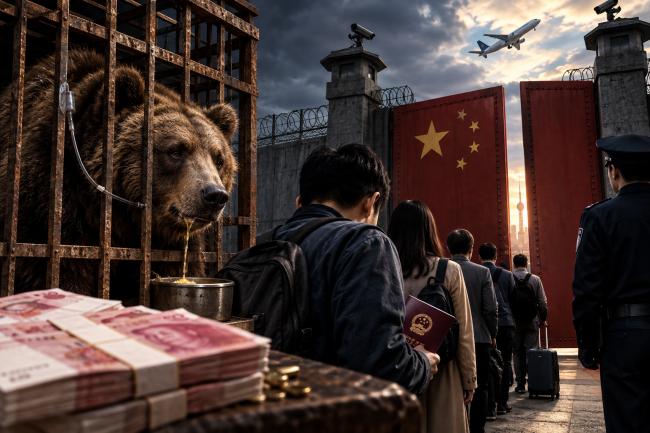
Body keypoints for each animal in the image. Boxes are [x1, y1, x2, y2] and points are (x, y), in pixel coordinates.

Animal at [0, 49, 238, 301]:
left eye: (219, 158)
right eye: (176, 150)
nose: (215, 195)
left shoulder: (171, 244)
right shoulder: (49, 207)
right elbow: (63, 272)